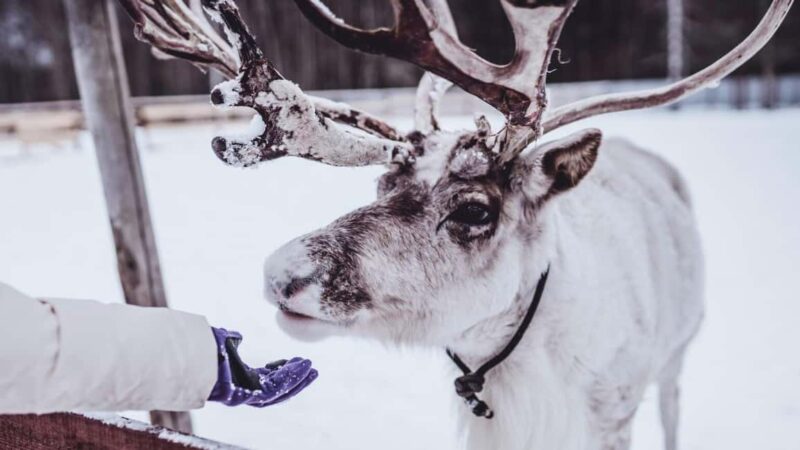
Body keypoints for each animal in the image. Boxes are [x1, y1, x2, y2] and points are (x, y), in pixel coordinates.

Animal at [119, 0, 793, 448]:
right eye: (381, 185)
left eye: (474, 209)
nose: (281, 274)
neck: (519, 364)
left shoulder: (613, 414)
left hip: (676, 356)